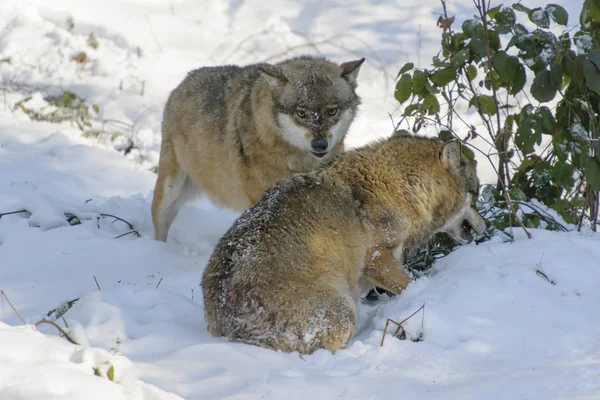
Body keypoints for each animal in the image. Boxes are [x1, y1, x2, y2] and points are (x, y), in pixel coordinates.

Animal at [202, 136, 488, 354]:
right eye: (476, 194)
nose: (485, 227)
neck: (406, 187)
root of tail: (228, 324)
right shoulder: (376, 256)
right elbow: (410, 283)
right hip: (344, 312)